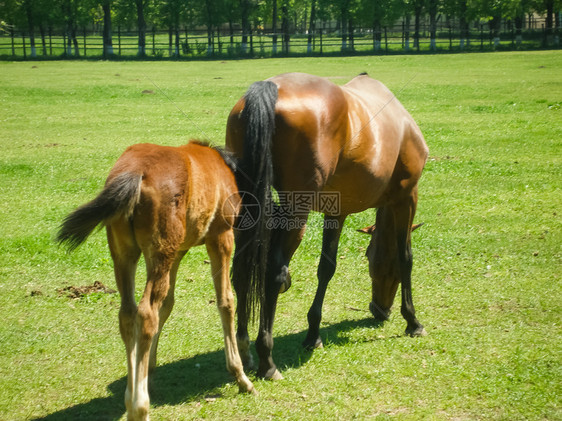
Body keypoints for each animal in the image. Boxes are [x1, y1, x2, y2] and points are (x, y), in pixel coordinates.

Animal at [56, 141, 254, 420]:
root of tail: (135, 172)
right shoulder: (221, 237)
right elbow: (225, 301)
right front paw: (241, 376)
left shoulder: (179, 250)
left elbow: (168, 304)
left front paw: (148, 369)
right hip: (160, 251)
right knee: (147, 312)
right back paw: (140, 406)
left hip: (128, 254)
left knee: (128, 313)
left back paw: (131, 399)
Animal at [225, 73, 426, 380]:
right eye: (376, 263)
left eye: (369, 257)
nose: (378, 310)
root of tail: (271, 87)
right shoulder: (406, 197)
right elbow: (406, 258)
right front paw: (413, 320)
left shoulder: (337, 212)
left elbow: (326, 268)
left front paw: (313, 334)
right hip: (297, 213)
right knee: (273, 273)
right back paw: (267, 361)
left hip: (247, 209)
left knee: (241, 271)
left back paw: (245, 350)